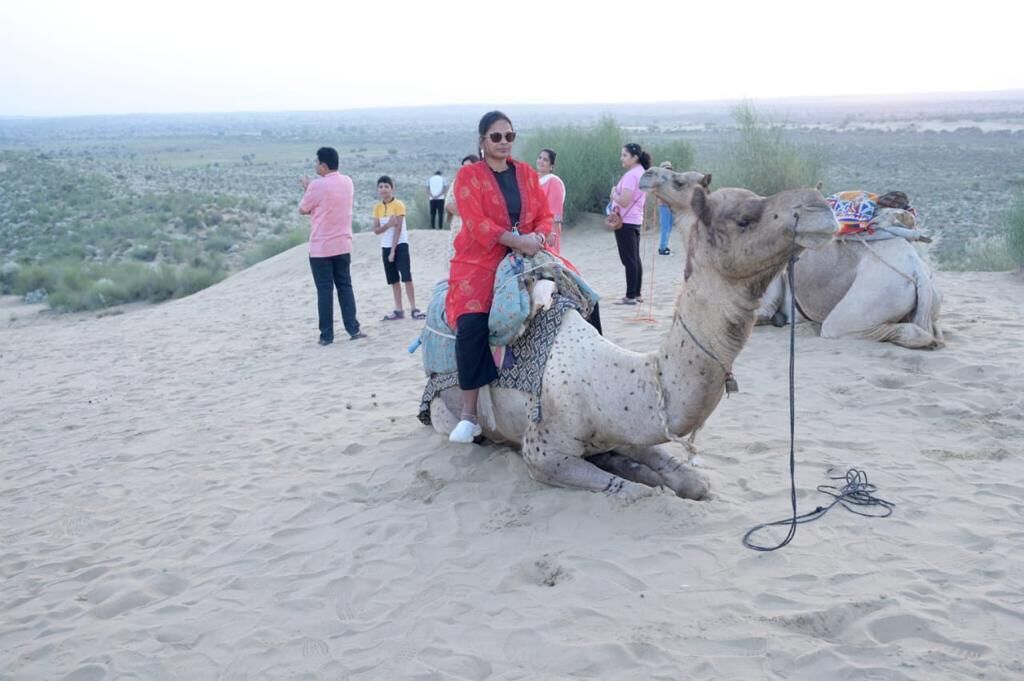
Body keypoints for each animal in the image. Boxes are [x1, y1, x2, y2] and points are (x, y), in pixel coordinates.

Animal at [426, 167, 839, 499]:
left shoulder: (625, 429)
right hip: (444, 412)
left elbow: (692, 481)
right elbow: (637, 491)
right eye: (744, 218)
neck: (612, 380)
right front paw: (639, 479)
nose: (821, 205)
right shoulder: (542, 455)